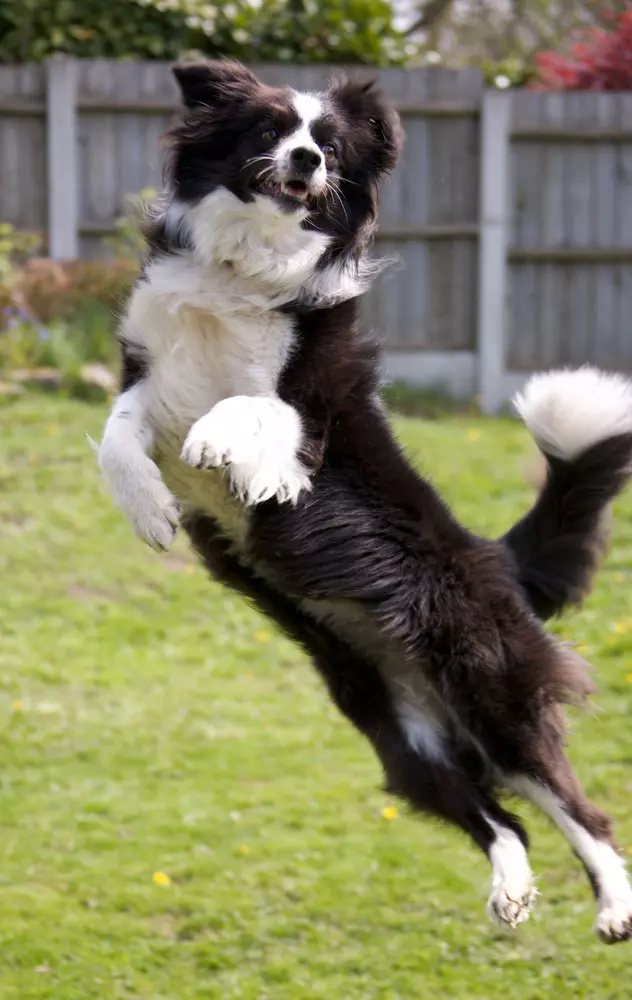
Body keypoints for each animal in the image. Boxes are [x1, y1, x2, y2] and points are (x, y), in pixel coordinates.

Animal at [97, 64, 632, 944]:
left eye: (331, 145)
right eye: (270, 128)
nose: (307, 161)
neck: (243, 264)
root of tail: (497, 557)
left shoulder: (308, 418)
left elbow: (247, 408)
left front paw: (215, 449)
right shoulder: (147, 374)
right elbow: (115, 436)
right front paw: (148, 509)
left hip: (492, 696)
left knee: (582, 810)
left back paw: (616, 907)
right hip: (402, 738)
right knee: (504, 822)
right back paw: (512, 892)